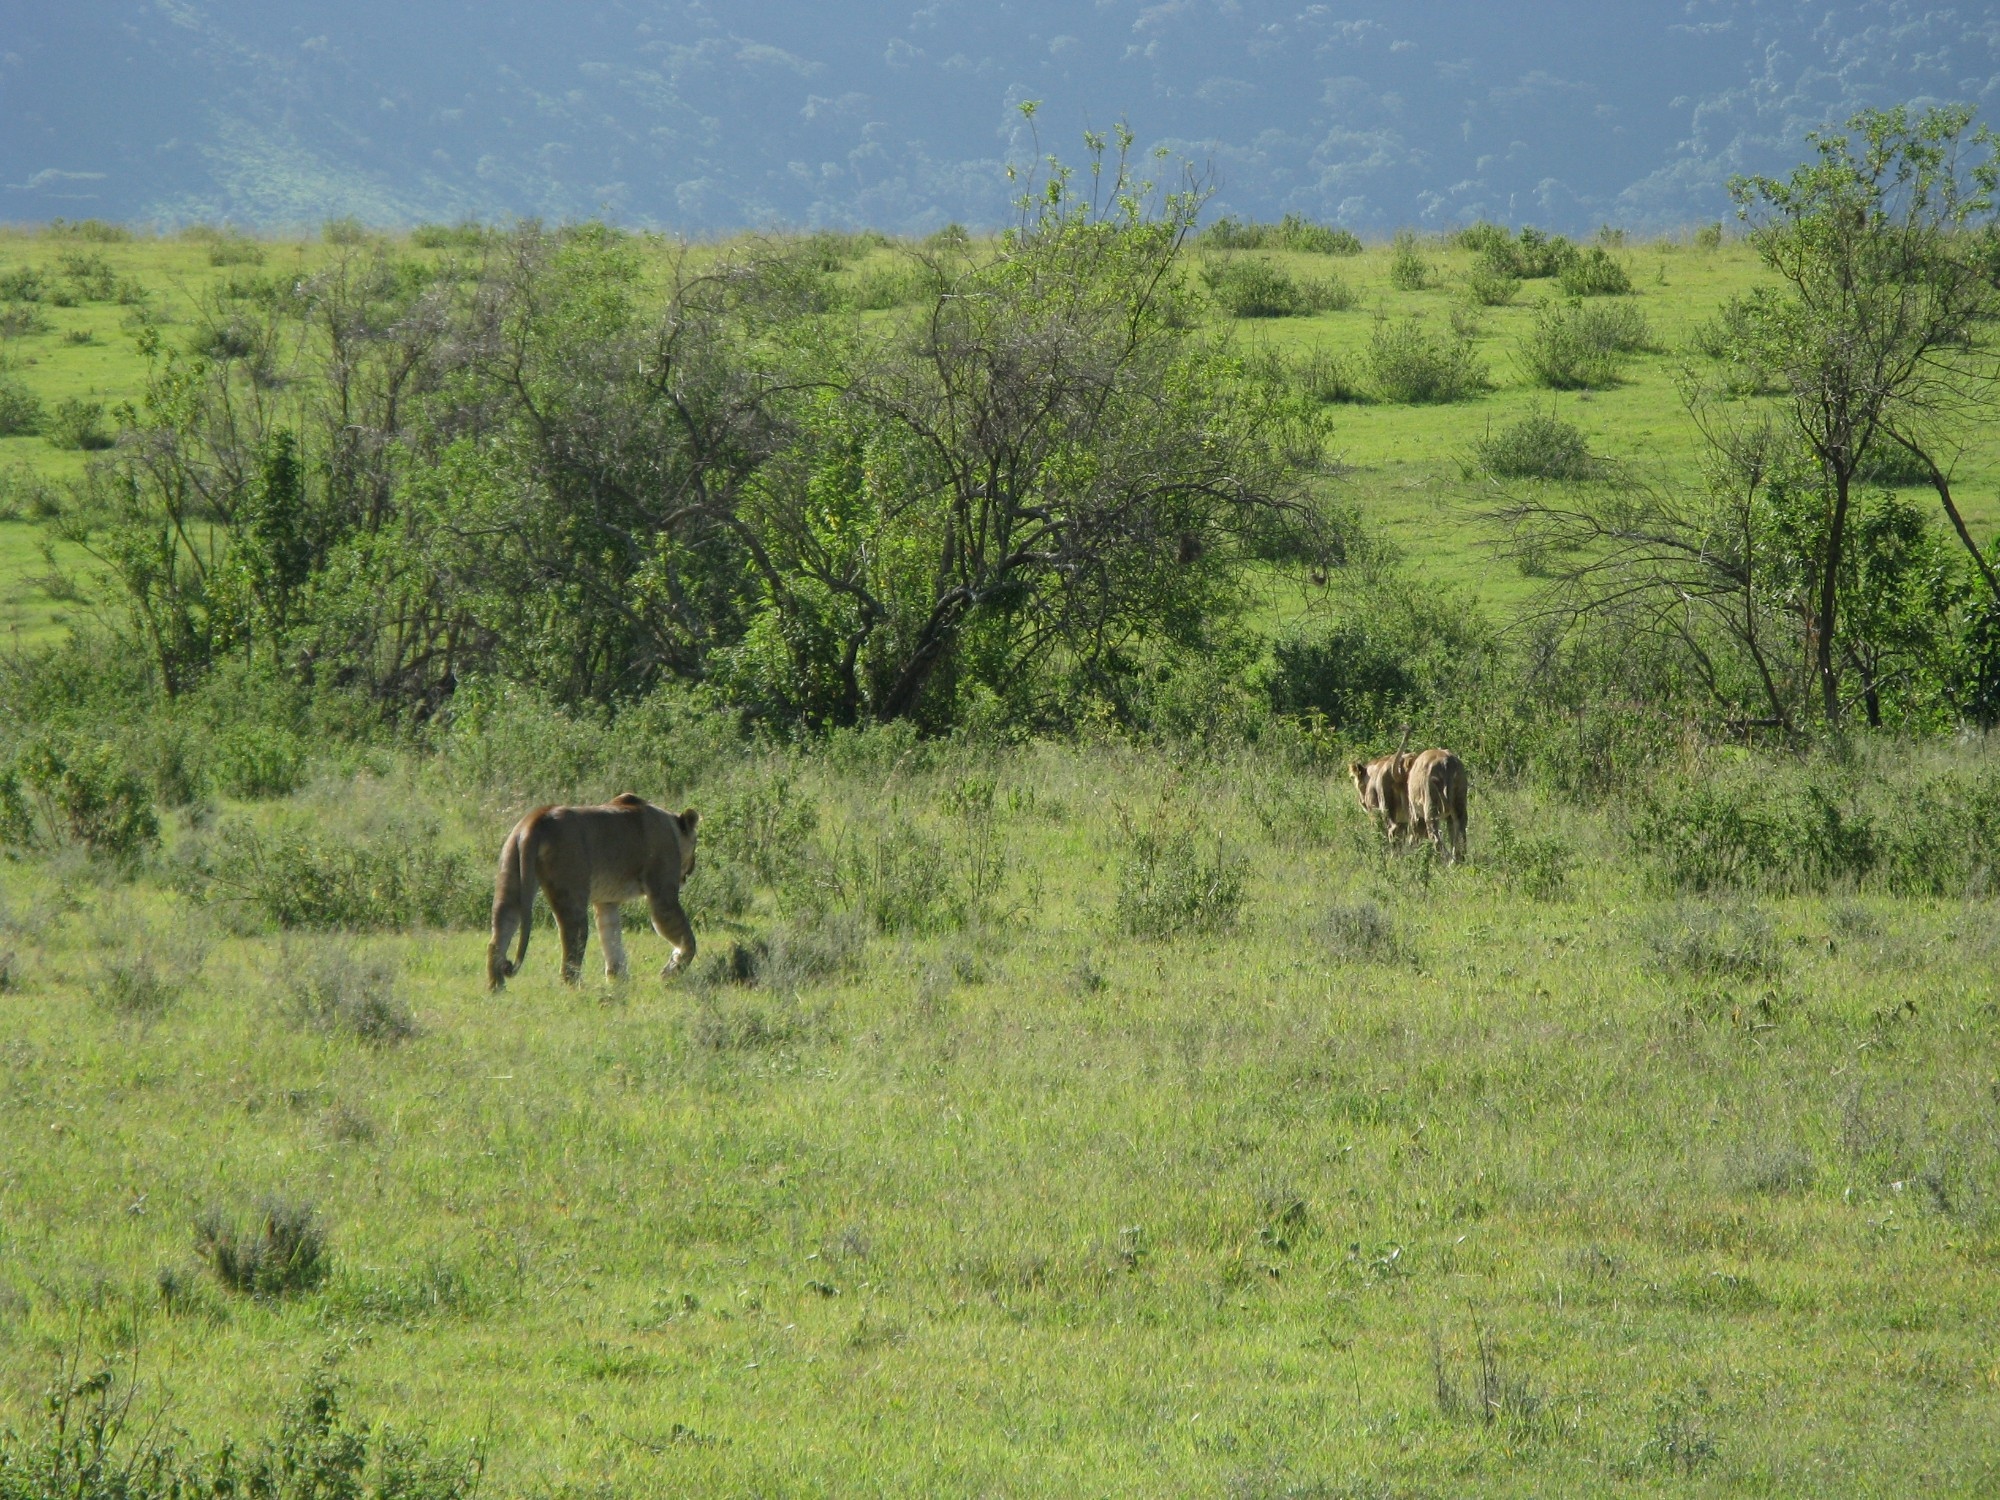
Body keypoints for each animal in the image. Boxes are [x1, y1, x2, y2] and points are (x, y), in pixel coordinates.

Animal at [486, 792, 700, 992]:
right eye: (696, 844)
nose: (691, 870)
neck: (671, 825)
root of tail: (536, 818)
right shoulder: (662, 893)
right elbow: (687, 939)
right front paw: (670, 973)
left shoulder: (606, 902)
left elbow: (611, 939)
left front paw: (618, 981)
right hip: (572, 891)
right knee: (572, 948)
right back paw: (579, 989)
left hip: (510, 877)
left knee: (497, 938)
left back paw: (497, 989)